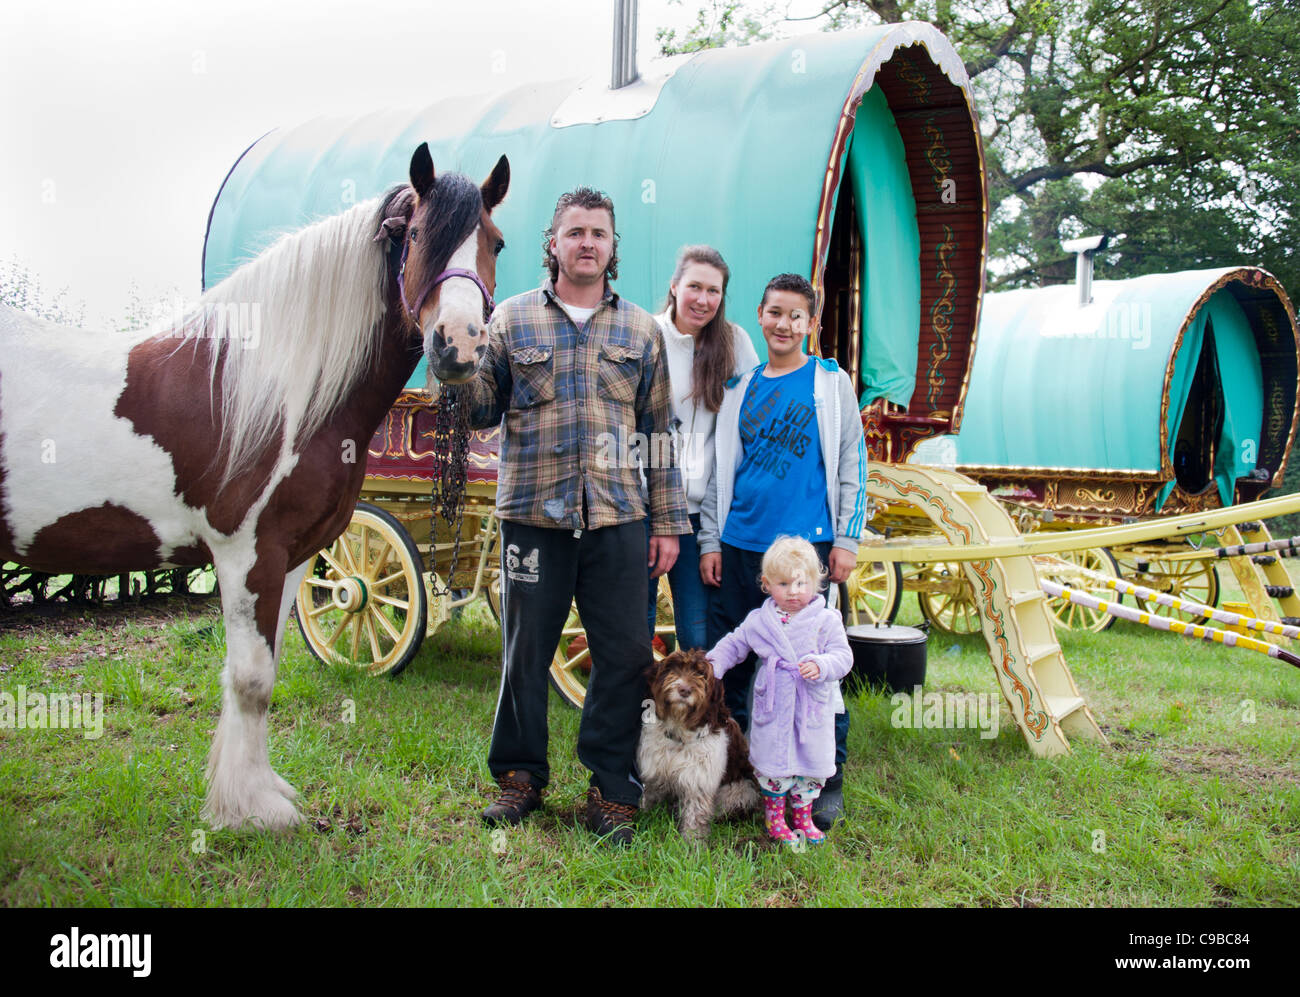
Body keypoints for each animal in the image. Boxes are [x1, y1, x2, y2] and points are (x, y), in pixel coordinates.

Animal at [0, 140, 509, 826]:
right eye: (417, 237)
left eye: (496, 243)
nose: (459, 347)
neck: (278, 389)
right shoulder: (246, 554)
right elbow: (250, 680)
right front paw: (249, 810)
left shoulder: (292, 557)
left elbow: (266, 672)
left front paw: (259, 791)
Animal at [639, 647, 759, 842]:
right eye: (673, 668)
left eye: (702, 674)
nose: (684, 690)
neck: (679, 733)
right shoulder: (654, 771)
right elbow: (649, 796)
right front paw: (642, 815)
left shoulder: (698, 781)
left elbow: (695, 814)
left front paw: (691, 843)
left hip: (740, 792)